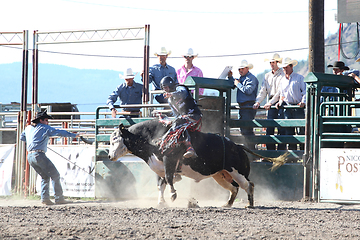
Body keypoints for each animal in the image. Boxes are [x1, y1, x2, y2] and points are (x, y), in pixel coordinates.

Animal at [107, 119, 286, 207]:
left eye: (115, 139)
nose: (109, 156)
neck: (155, 138)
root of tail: (238, 147)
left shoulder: (169, 161)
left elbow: (169, 180)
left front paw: (173, 196)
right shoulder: (160, 168)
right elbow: (161, 184)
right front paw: (161, 202)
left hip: (237, 172)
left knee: (249, 185)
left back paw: (250, 204)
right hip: (220, 175)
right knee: (234, 188)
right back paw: (227, 204)